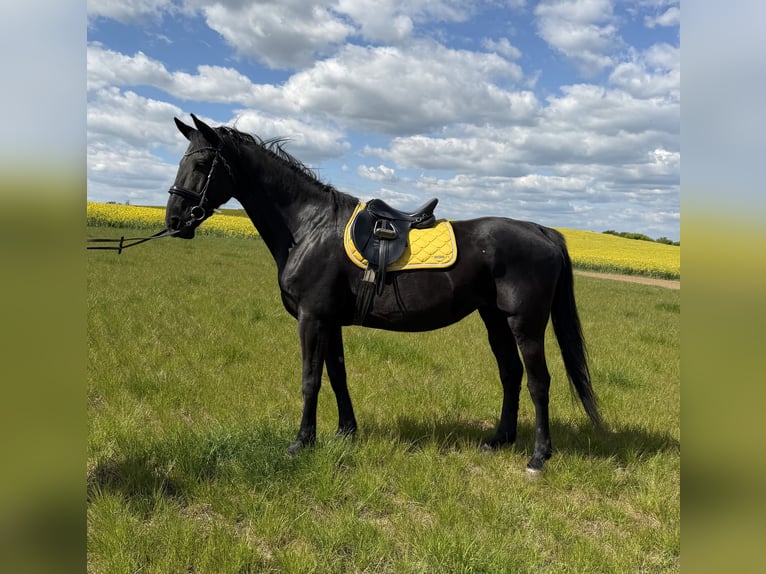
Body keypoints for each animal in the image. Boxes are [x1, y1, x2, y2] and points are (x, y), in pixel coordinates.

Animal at [164, 114, 602, 472]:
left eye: (201, 165)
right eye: (183, 161)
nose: (174, 221)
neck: (309, 226)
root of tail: (542, 231)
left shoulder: (312, 318)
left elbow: (310, 379)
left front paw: (301, 443)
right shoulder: (330, 321)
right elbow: (337, 375)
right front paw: (345, 433)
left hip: (525, 323)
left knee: (538, 382)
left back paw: (538, 457)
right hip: (494, 319)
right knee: (511, 374)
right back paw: (499, 440)